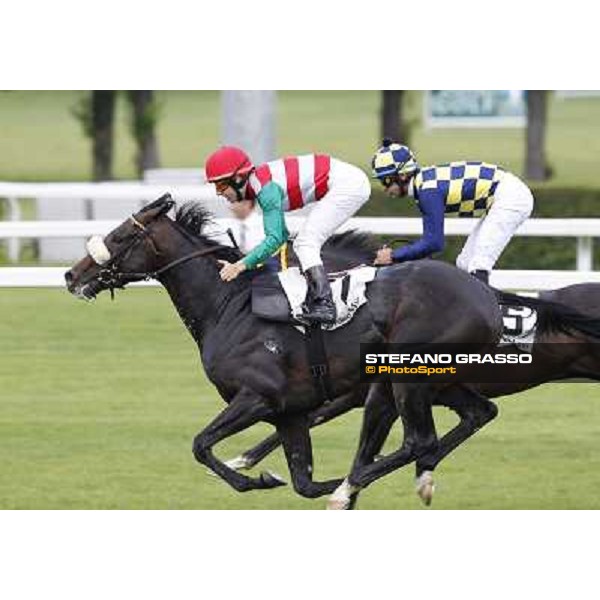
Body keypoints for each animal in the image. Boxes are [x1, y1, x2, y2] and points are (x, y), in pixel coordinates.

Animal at [64, 195, 502, 500]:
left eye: (120, 236)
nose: (72, 275)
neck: (228, 305)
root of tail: (487, 299)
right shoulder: (290, 413)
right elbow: (302, 482)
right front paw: (285, 476)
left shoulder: (258, 397)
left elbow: (201, 445)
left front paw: (258, 478)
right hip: (436, 382)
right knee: (478, 413)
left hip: (408, 376)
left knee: (420, 440)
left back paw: (356, 483)